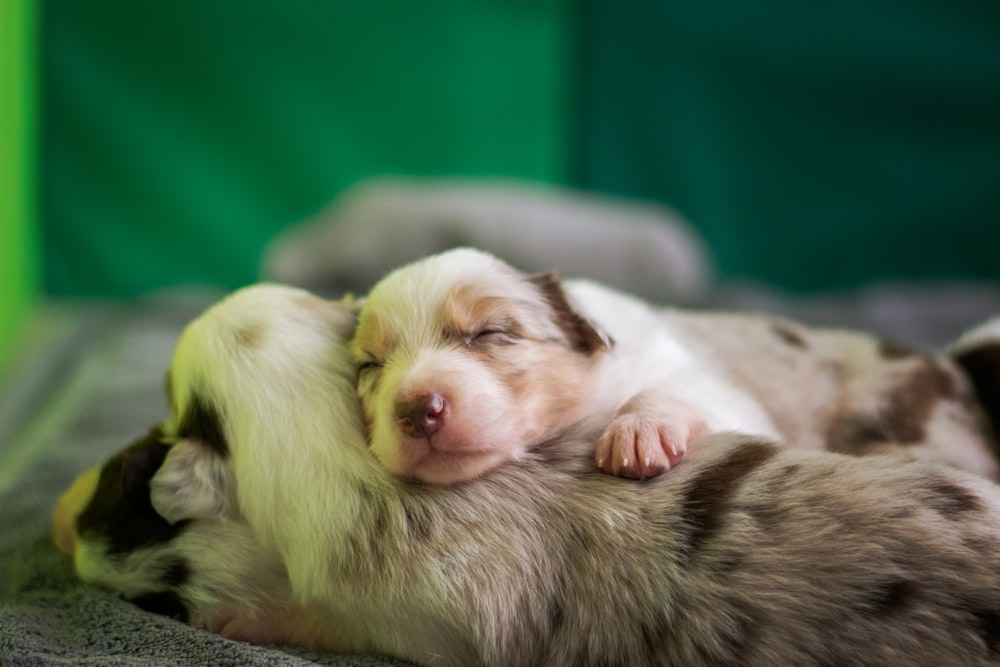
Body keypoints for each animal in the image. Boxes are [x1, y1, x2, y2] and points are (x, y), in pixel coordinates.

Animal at [352, 248, 1000, 482]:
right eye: (369, 367)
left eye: (490, 333)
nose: (417, 410)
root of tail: (956, 367)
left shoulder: (711, 386)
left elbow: (663, 393)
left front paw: (637, 435)